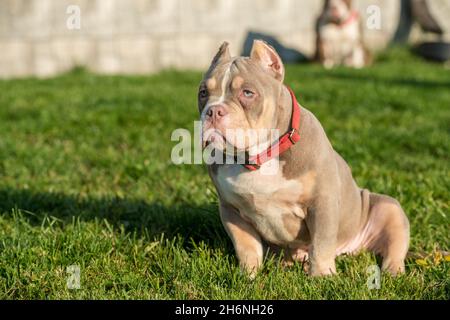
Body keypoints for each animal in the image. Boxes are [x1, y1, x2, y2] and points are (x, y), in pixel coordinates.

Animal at [199, 41, 410, 278]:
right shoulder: (231, 209)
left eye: (247, 93)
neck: (258, 157)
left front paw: (322, 276)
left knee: (394, 247)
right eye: (203, 92)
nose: (213, 111)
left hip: (390, 209)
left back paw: (393, 272)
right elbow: (246, 246)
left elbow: (321, 243)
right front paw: (248, 275)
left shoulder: (322, 203)